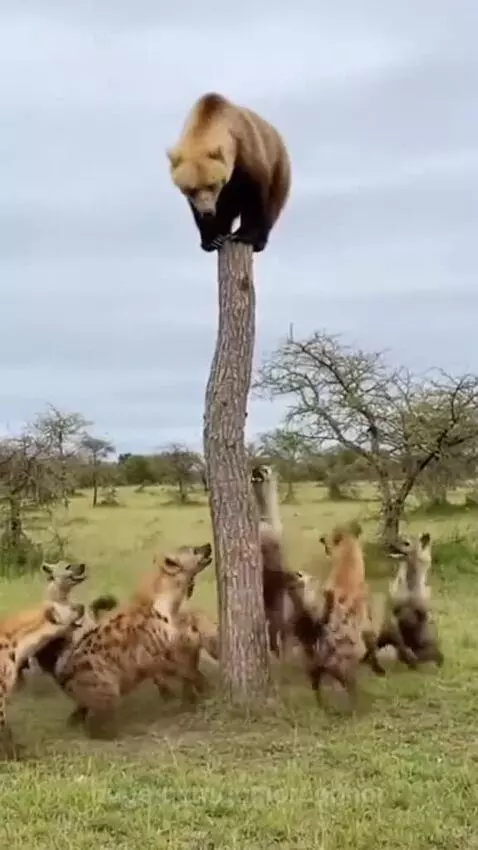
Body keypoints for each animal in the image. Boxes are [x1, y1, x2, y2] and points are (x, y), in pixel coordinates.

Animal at [167, 92, 291, 253]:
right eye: (190, 189)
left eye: (212, 185)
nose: (207, 211)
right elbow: (197, 210)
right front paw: (212, 240)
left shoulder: (247, 154)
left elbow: (254, 198)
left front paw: (244, 235)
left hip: (279, 167)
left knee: (273, 205)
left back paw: (258, 241)